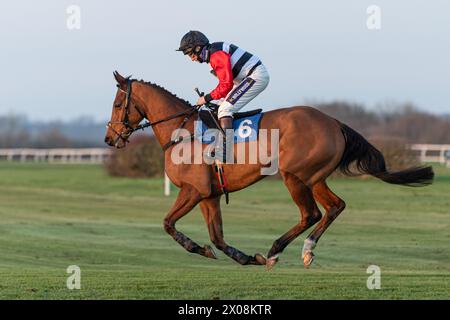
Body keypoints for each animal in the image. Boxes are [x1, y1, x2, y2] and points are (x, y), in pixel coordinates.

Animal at [103, 71, 434, 268]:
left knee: (311, 213)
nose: (109, 138)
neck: (183, 131)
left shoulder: (193, 191)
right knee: (335, 206)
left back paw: (276, 249)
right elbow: (217, 238)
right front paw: (244, 257)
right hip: (315, 177)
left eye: (118, 104)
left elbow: (168, 224)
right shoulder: (209, 195)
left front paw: (199, 248)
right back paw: (307, 249)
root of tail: (333, 122)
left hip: (294, 175)